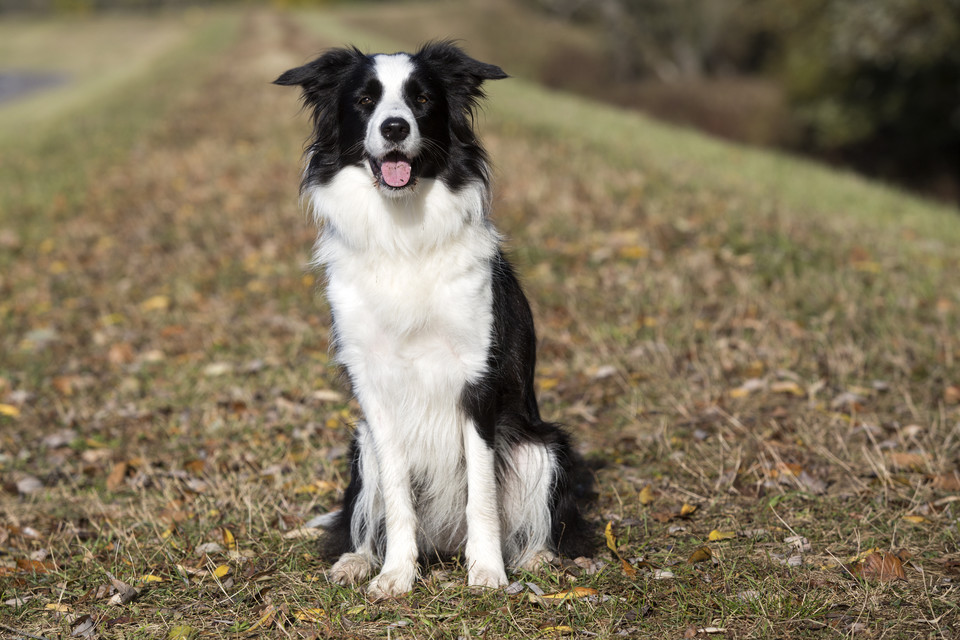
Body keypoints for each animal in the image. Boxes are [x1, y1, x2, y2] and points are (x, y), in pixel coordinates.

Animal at [274, 41, 592, 600]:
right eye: (364, 99)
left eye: (421, 99)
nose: (395, 128)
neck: (403, 233)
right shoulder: (374, 385)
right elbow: (398, 495)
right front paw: (396, 574)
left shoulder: (476, 379)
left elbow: (482, 493)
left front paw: (487, 572)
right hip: (362, 448)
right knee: (365, 519)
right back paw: (357, 561)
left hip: (542, 446)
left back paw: (536, 560)